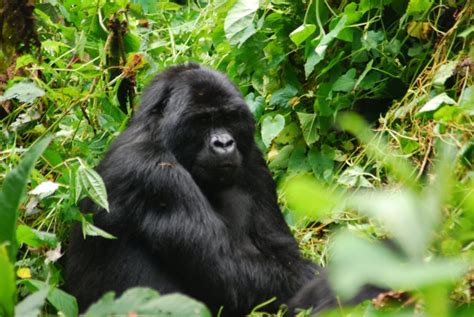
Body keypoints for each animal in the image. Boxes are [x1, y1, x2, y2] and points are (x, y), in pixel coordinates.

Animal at [65, 63, 378, 314]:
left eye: (228, 118)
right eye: (203, 120)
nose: (224, 143)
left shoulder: (252, 157)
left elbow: (282, 251)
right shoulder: (152, 173)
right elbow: (230, 274)